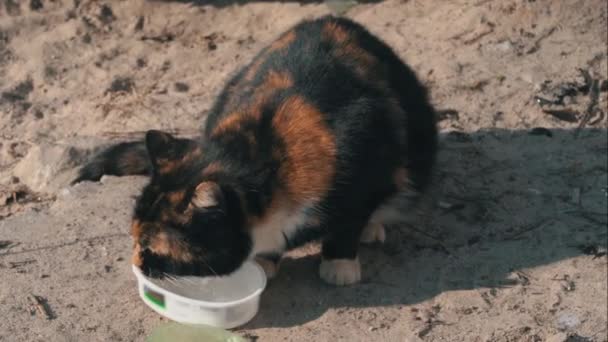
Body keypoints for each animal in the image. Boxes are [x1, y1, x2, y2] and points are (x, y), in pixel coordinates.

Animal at [75, 15, 436, 286]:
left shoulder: (367, 165)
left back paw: (373, 227)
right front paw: (265, 262)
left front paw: (339, 265)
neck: (265, 153)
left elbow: (349, 222)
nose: (136, 263)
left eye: (151, 248)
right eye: (134, 238)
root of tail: (334, 20)